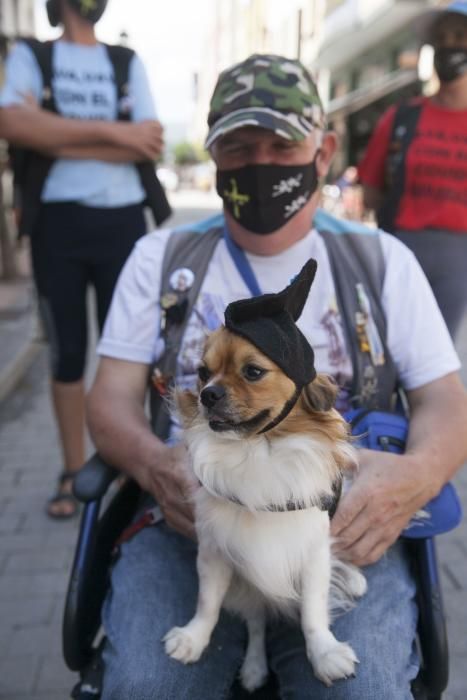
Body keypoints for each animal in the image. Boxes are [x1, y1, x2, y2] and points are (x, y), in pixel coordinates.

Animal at [165, 326, 370, 688]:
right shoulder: (214, 553)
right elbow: (208, 602)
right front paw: (194, 638)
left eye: (253, 372)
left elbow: (313, 610)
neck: (256, 451)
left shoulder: (313, 553)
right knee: (256, 621)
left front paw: (325, 653)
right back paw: (254, 668)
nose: (208, 394)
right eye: (202, 373)